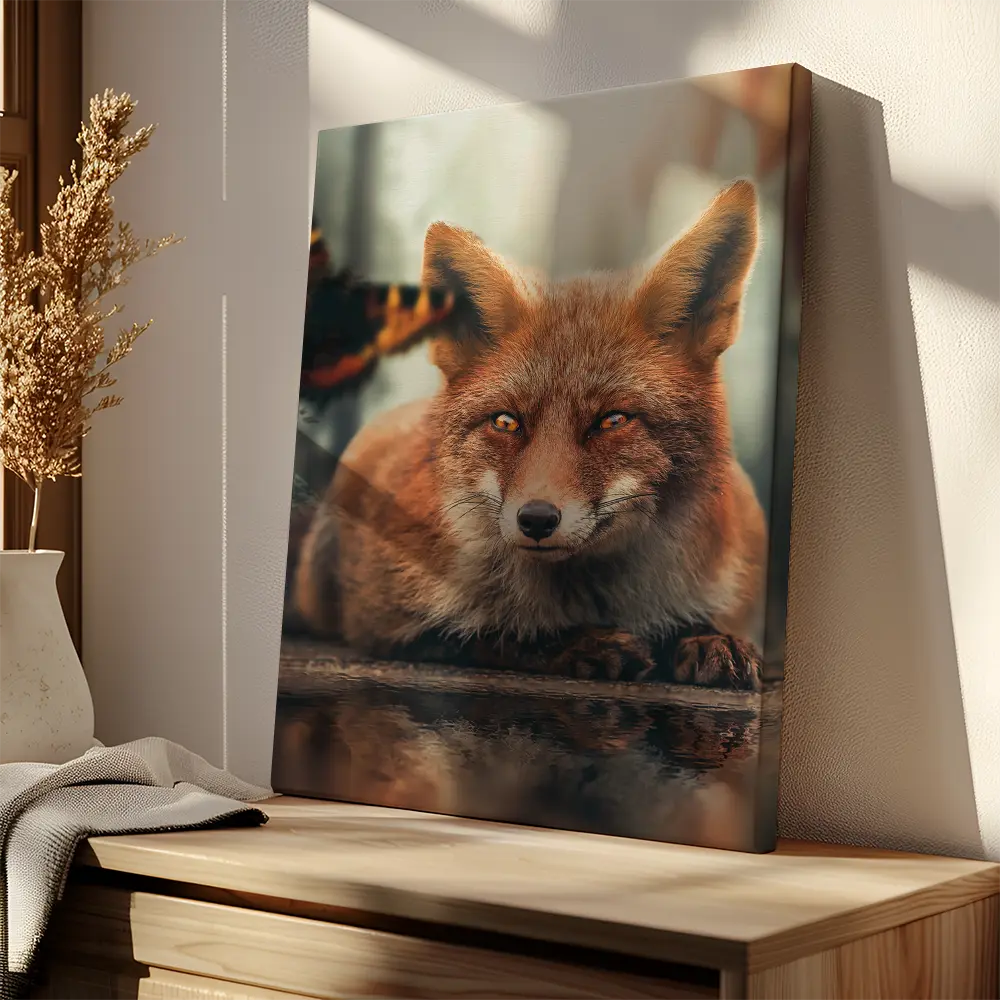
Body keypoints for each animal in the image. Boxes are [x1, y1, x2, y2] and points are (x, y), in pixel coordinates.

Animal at [293, 180, 768, 690]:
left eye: (612, 421)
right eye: (506, 422)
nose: (536, 519)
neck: (594, 594)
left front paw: (705, 636)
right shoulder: (385, 621)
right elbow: (494, 634)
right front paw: (577, 643)